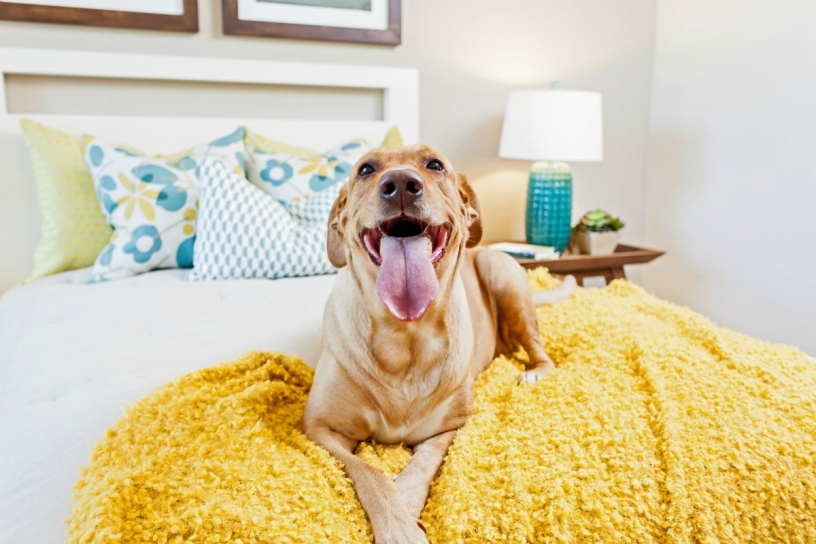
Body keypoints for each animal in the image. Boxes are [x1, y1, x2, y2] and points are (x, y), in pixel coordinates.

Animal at [302, 144, 576, 544]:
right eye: (366, 169)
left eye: (435, 165)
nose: (401, 183)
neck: (404, 337)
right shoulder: (320, 429)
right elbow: (370, 473)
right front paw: (398, 525)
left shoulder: (450, 428)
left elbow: (424, 462)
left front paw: (406, 505)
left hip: (502, 274)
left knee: (540, 349)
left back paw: (533, 373)